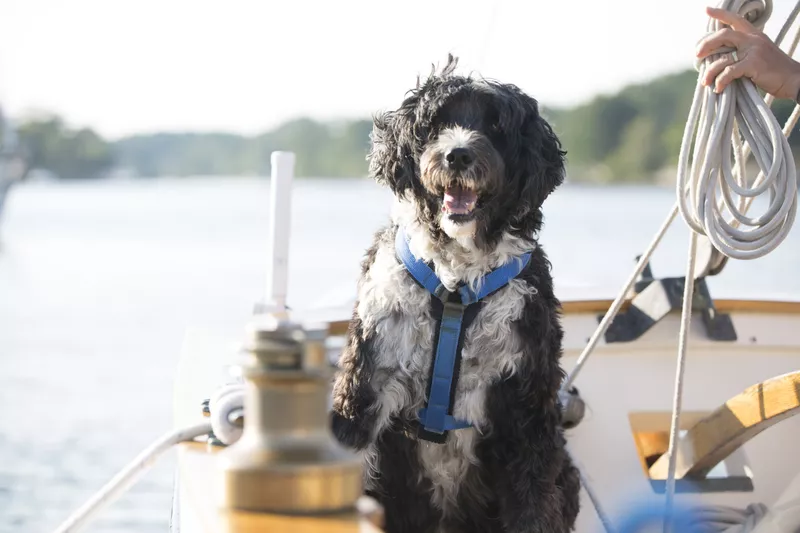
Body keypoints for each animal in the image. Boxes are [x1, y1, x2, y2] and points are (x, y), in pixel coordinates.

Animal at [332, 55, 580, 532]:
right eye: (437, 124)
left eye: (497, 126)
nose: (458, 153)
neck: (456, 287)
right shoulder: (366, 386)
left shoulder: (526, 408)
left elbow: (532, 502)